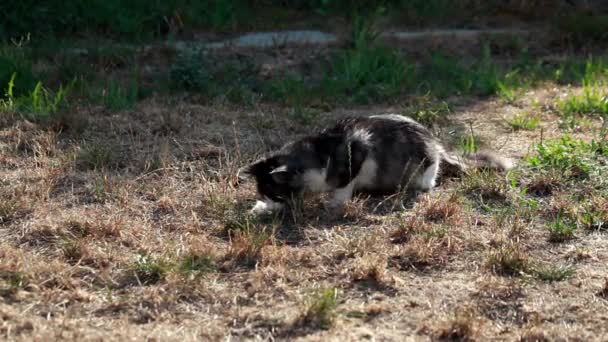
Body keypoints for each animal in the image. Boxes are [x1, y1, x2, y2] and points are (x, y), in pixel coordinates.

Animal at [239, 114, 512, 214]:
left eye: (276, 193)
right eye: (264, 193)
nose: (270, 202)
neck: (319, 153)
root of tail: (436, 143)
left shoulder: (359, 152)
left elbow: (344, 186)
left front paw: (334, 203)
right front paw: (260, 208)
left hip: (424, 168)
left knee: (429, 181)